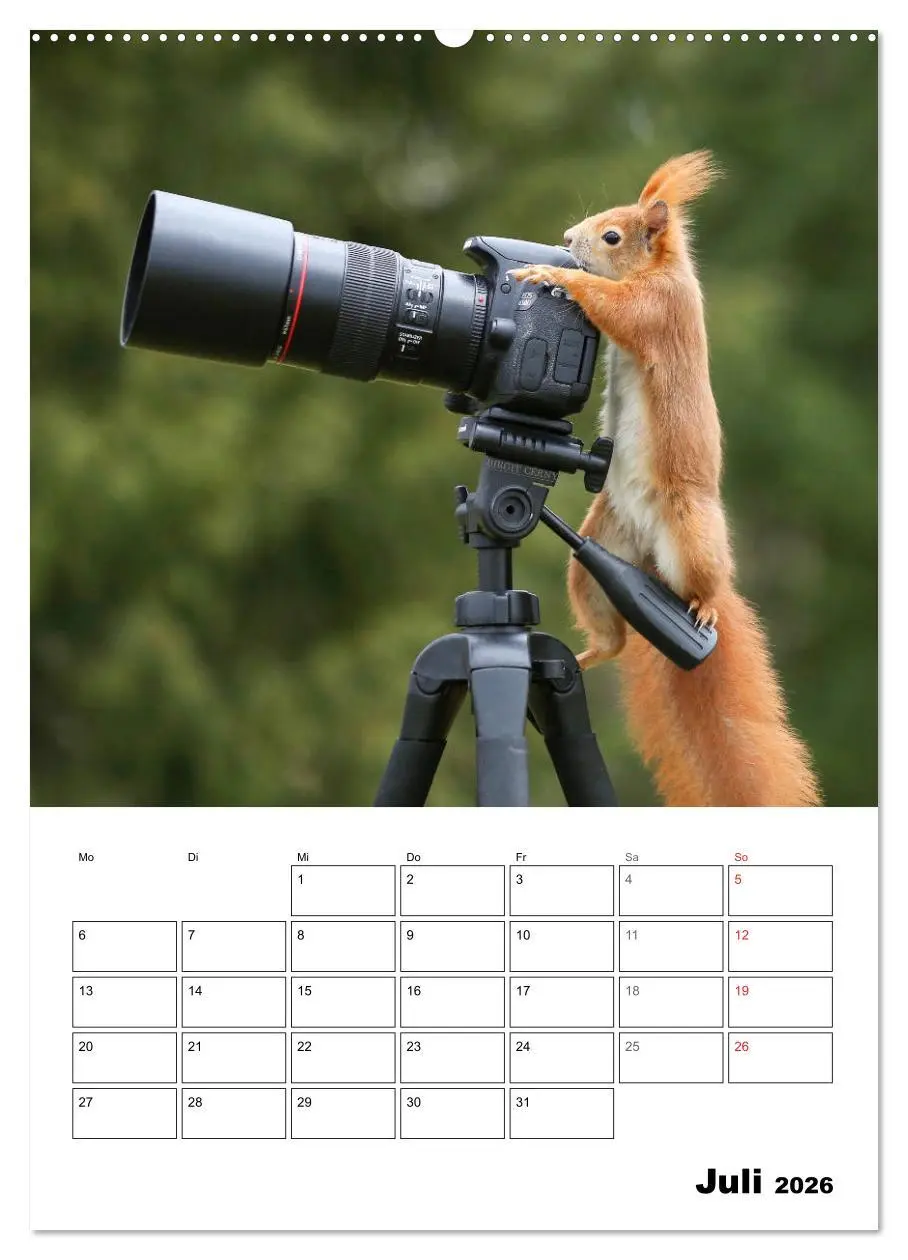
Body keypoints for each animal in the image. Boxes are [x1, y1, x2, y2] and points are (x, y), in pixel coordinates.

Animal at [511, 151, 821, 807]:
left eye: (612, 235)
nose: (566, 240)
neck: (663, 269)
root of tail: (653, 564)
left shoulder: (657, 308)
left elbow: (616, 306)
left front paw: (548, 275)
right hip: (595, 553)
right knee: (615, 637)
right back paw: (588, 655)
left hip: (689, 528)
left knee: (705, 582)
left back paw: (702, 608)